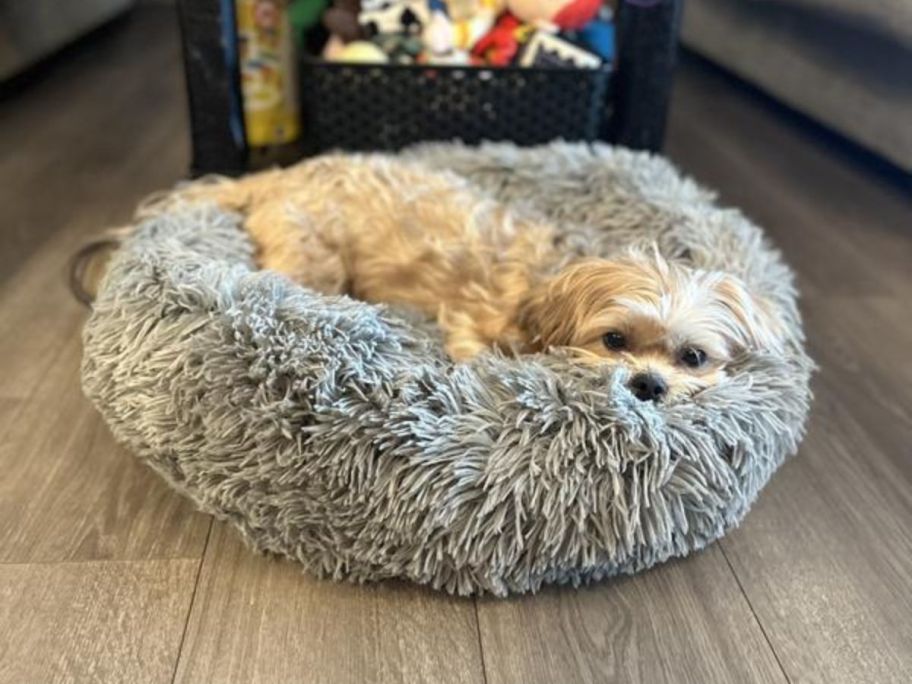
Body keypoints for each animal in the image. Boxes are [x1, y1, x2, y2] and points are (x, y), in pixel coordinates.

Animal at [173, 154, 784, 400]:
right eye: (614, 340)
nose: (649, 386)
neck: (548, 283)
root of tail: (276, 176)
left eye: (693, 357)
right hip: (314, 259)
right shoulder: (472, 324)